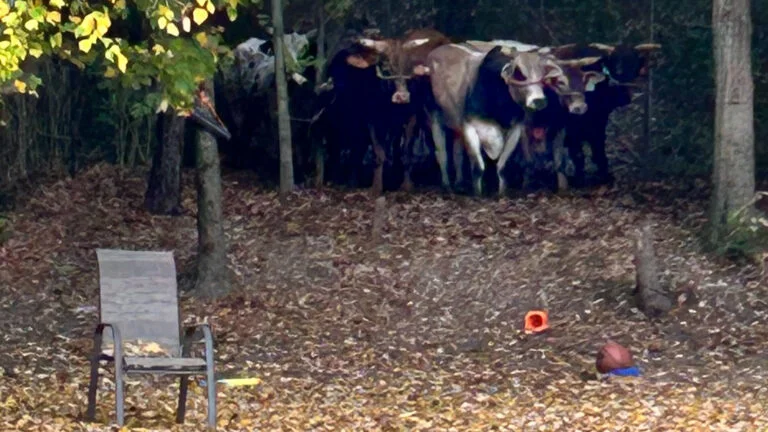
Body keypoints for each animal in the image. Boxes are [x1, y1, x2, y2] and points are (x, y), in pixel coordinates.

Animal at [425, 43, 571, 196]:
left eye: (542, 75)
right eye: (519, 73)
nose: (539, 101)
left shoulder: (515, 130)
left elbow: (503, 166)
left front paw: (502, 193)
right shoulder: (469, 127)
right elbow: (478, 167)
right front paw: (478, 194)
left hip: (456, 127)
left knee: (457, 155)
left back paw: (459, 183)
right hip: (435, 119)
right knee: (442, 155)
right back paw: (446, 185)